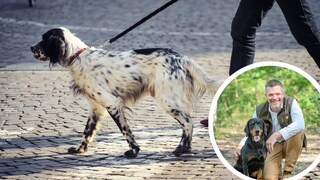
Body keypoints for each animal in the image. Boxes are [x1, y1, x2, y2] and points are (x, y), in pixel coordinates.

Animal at [30, 26, 219, 158]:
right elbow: (87, 132)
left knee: (188, 122)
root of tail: (180, 57)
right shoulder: (96, 107)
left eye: (43, 40)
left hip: (167, 99)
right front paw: (79, 149)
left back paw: (180, 149)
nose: (31, 47)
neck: (78, 57)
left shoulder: (111, 103)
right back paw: (186, 149)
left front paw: (133, 151)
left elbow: (125, 131)